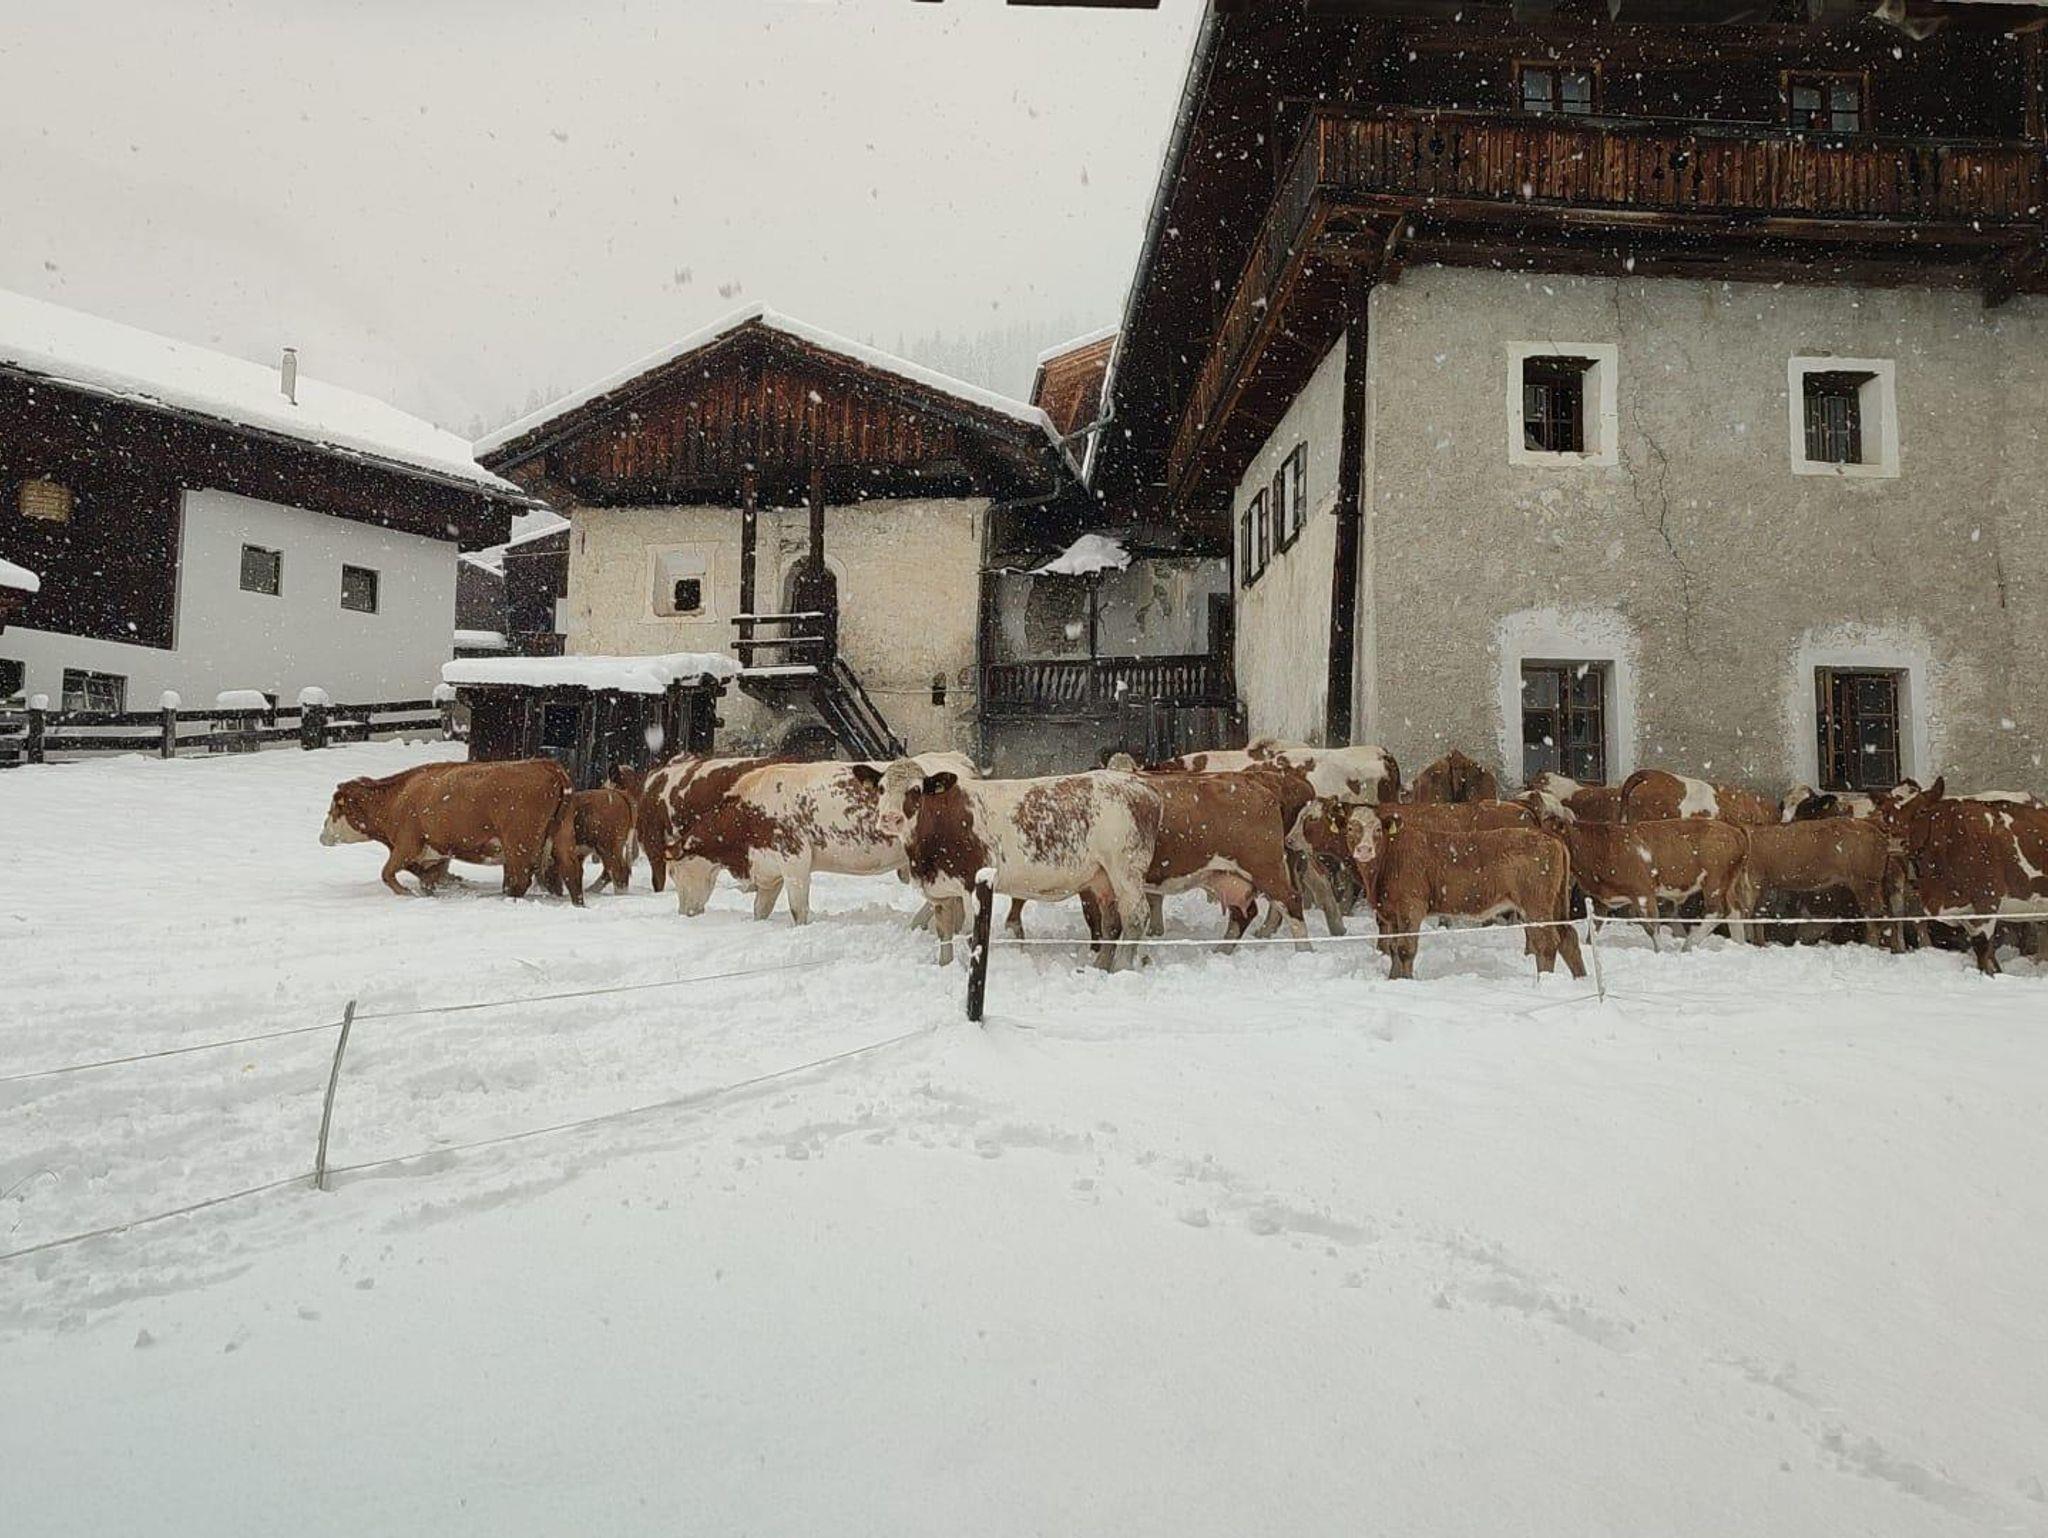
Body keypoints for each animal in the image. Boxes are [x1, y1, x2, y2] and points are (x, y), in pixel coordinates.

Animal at [320, 758, 583, 905]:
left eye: (334, 807)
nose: (322, 836)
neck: (397, 797)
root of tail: (545, 764)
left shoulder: (407, 844)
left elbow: (387, 873)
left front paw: (407, 893)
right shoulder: (436, 852)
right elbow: (427, 878)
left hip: (519, 844)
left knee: (519, 880)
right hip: (562, 838)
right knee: (571, 872)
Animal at [864, 762, 1162, 971]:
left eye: (915, 790)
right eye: (881, 788)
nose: (889, 818)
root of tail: (1140, 787)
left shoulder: (973, 883)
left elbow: (971, 934)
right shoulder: (940, 892)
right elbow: (944, 933)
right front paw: (944, 967)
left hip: (1125, 870)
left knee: (1135, 916)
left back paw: (1121, 968)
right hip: (1102, 877)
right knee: (1112, 921)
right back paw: (1099, 966)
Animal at [1337, 810, 1585, 981]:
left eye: (1377, 830)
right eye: (1350, 828)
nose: (1364, 850)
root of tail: (1545, 834)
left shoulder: (1411, 907)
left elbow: (1405, 949)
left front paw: (1406, 981)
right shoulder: (1392, 912)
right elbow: (1393, 949)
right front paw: (1393, 979)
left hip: (1536, 904)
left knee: (1547, 942)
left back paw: (1544, 981)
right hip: (1554, 903)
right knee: (1567, 937)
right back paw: (1579, 978)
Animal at [1529, 810, 1746, 952]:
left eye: (1549, 833)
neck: (1602, 846)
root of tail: (1733, 830)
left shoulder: (1643, 892)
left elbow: (1651, 926)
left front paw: (1659, 952)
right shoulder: (1601, 899)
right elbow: (1594, 930)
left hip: (1714, 882)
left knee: (1716, 912)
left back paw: (1688, 945)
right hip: (1728, 884)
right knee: (1734, 910)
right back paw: (1739, 945)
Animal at [1735, 820, 1898, 950]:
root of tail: (1883, 838)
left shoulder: (1753, 881)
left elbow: (1749, 915)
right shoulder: (1764, 884)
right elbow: (1758, 915)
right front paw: (1759, 944)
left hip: (1865, 882)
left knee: (1875, 915)